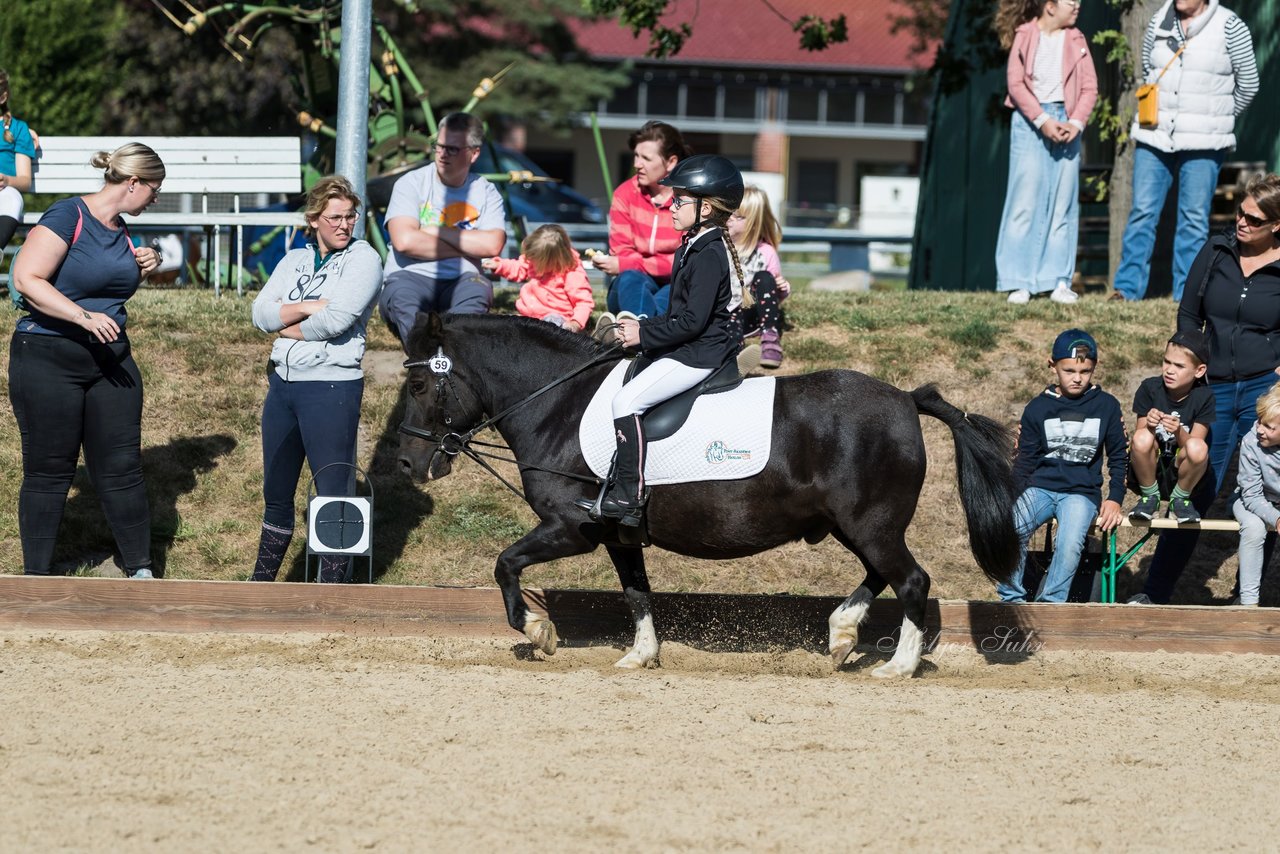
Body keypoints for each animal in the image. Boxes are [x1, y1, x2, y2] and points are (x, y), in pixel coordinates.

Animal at [399, 313, 1018, 681]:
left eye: (420, 384)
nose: (408, 463)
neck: (559, 405)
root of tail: (905, 399)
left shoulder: (571, 527)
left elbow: (505, 564)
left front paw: (537, 630)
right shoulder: (619, 534)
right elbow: (637, 592)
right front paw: (640, 655)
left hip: (871, 523)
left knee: (910, 580)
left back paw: (897, 666)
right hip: (856, 524)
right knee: (881, 574)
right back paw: (843, 633)